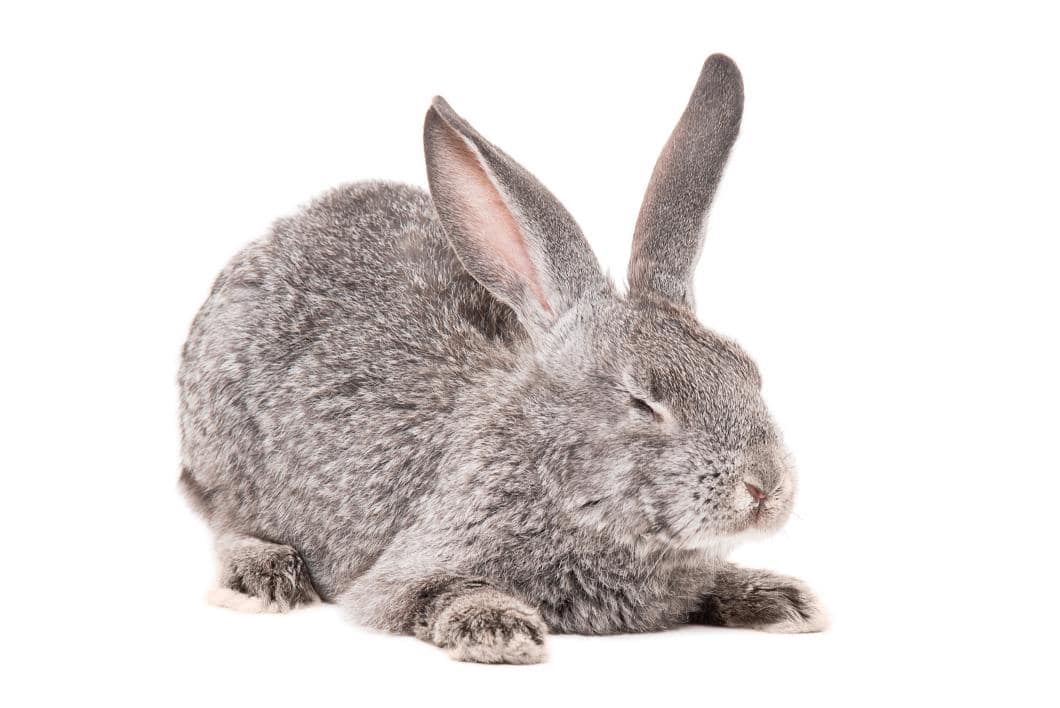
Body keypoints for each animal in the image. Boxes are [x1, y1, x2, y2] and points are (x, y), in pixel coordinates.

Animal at [178, 53, 827, 664]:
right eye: (643, 402)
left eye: (750, 373)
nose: (765, 488)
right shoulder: (405, 570)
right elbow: (432, 592)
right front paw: (499, 628)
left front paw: (783, 601)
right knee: (224, 520)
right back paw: (262, 576)